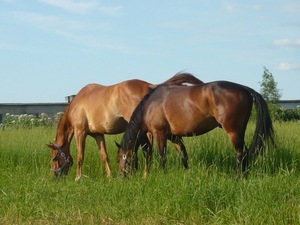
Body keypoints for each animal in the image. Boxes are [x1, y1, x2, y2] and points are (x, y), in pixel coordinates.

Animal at [47, 73, 204, 180]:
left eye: (54, 158)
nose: (54, 177)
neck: (77, 104)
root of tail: (150, 87)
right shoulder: (98, 134)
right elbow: (104, 156)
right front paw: (110, 176)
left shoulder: (80, 132)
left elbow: (80, 156)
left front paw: (78, 177)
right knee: (177, 145)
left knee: (147, 150)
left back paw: (145, 174)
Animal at [116, 80, 274, 176]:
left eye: (118, 160)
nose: (121, 176)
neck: (149, 106)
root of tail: (244, 89)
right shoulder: (174, 136)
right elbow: (183, 155)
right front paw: (188, 173)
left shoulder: (159, 133)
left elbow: (162, 156)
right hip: (240, 131)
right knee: (245, 153)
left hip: (233, 131)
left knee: (240, 153)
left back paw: (238, 177)